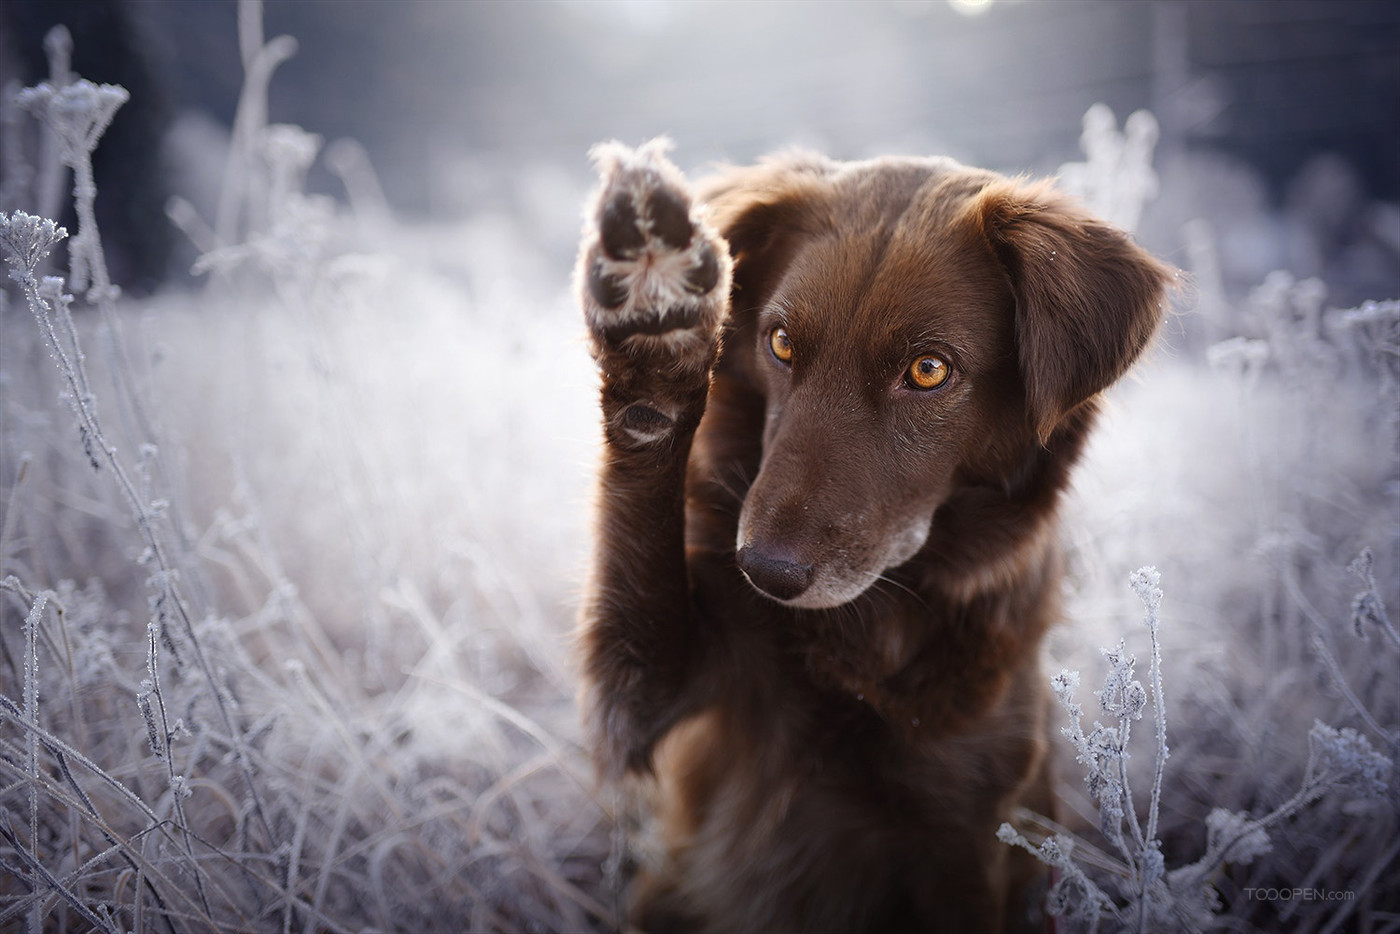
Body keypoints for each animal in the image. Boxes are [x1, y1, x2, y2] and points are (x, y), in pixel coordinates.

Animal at [574, 140, 1176, 934]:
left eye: (928, 370)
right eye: (780, 343)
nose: (765, 572)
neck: (869, 630)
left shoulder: (969, 839)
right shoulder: (649, 696)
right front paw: (655, 319)